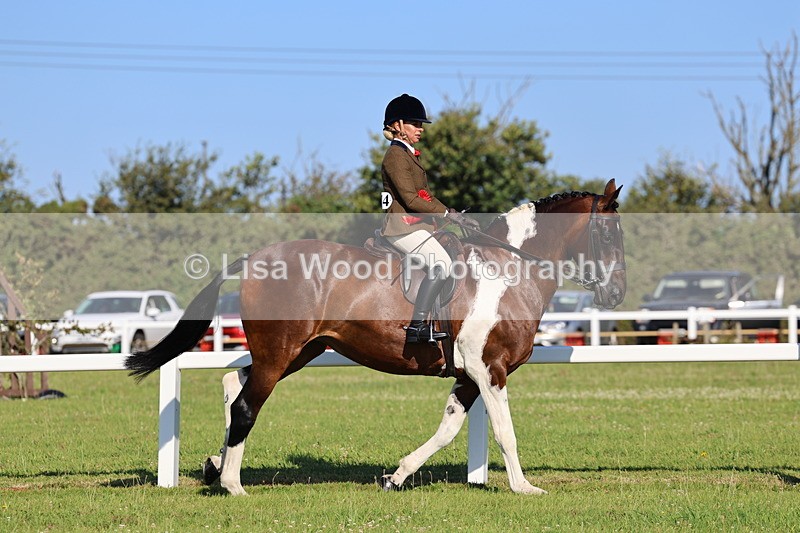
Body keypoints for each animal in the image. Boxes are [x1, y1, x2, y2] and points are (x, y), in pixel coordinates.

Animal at [125, 178, 626, 495]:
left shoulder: (469, 375)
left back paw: (215, 467)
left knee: (236, 384)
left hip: (299, 351)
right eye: (606, 233)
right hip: (281, 352)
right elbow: (506, 432)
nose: (617, 294)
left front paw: (396, 477)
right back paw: (233, 485)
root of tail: (254, 259)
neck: (507, 270)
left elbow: (446, 430)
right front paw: (525, 487)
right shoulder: (490, 369)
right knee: (248, 402)